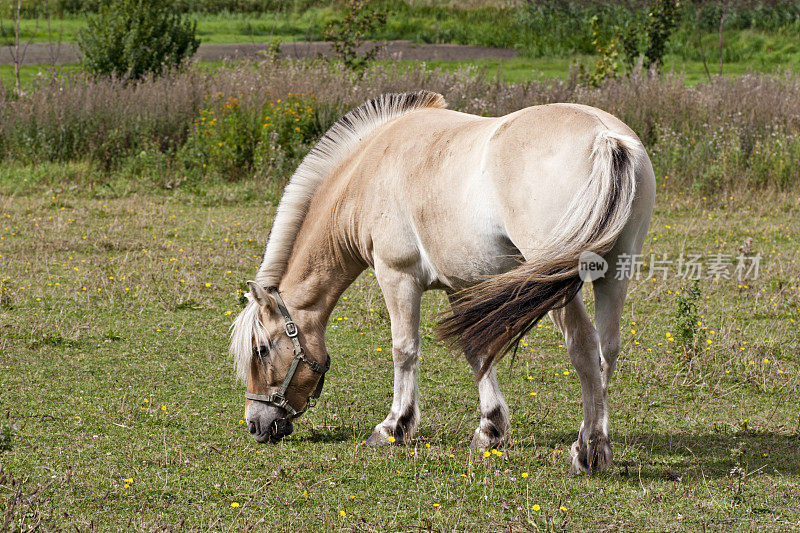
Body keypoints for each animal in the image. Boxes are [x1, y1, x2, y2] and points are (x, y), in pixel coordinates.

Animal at [228, 89, 652, 472]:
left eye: (262, 350)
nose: (256, 425)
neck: (370, 169)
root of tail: (605, 138)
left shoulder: (397, 276)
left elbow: (404, 350)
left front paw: (393, 427)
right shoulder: (461, 286)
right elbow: (476, 350)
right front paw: (489, 430)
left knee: (583, 347)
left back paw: (588, 450)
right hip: (615, 275)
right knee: (607, 350)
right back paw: (594, 438)